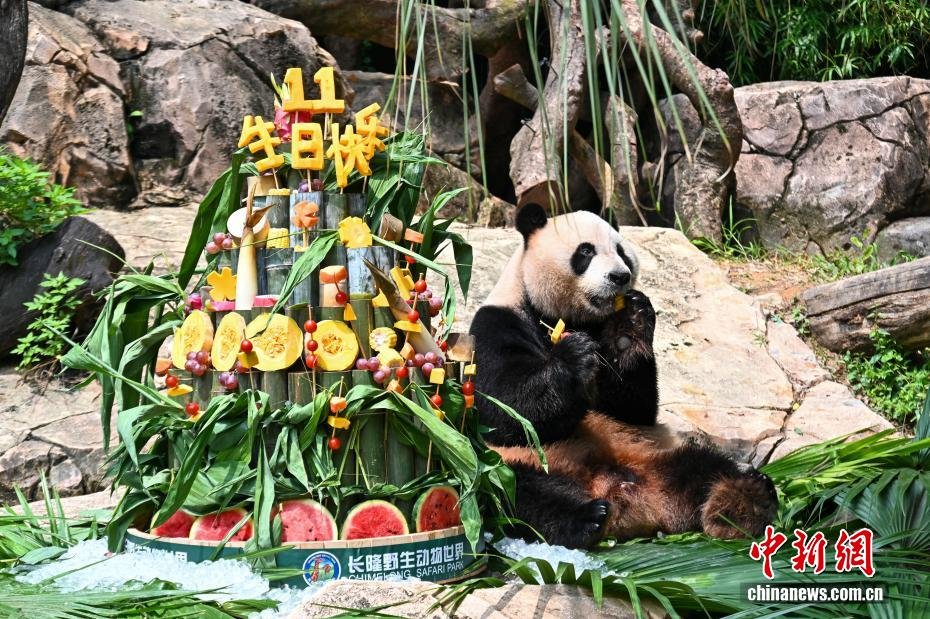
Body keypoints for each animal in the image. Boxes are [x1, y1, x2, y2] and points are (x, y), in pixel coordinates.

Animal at [469, 203, 777, 549]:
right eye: (586, 251)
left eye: (621, 252)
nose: (620, 276)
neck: (565, 318)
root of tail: (623, 496)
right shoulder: (496, 324)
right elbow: (506, 411)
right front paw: (573, 357)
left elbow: (631, 408)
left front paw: (630, 324)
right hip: (510, 462)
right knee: (511, 491)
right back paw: (584, 518)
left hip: (652, 452)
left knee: (705, 465)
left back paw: (744, 499)